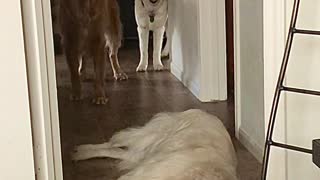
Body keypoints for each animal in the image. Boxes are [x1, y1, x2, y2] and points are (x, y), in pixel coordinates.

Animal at [72, 109, 238, 180]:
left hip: (143, 154)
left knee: (116, 150)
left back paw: (80, 153)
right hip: (149, 136)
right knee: (113, 142)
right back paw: (81, 149)